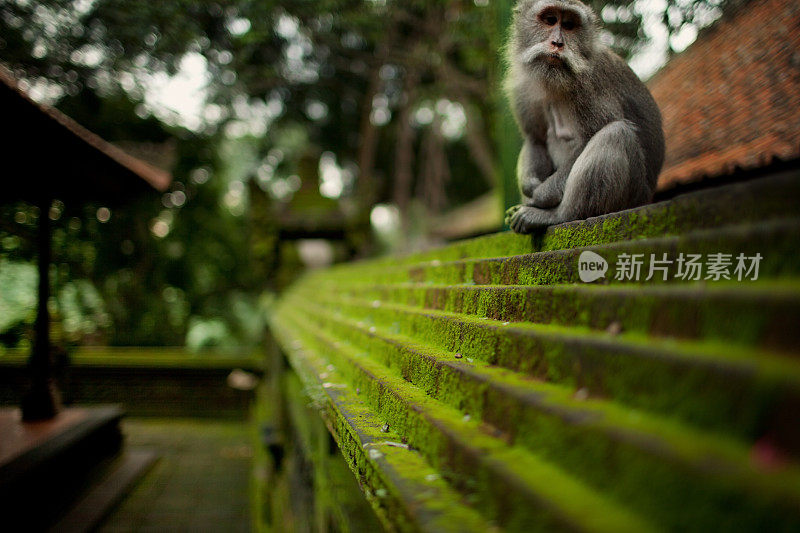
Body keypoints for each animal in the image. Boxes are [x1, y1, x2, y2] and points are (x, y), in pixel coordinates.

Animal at [504, 0, 664, 233]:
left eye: (569, 25)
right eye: (550, 20)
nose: (557, 42)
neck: (555, 80)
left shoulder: (591, 85)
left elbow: (589, 138)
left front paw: (539, 197)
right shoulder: (522, 86)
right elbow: (536, 138)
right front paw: (529, 187)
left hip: (633, 195)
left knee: (616, 133)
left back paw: (557, 216)